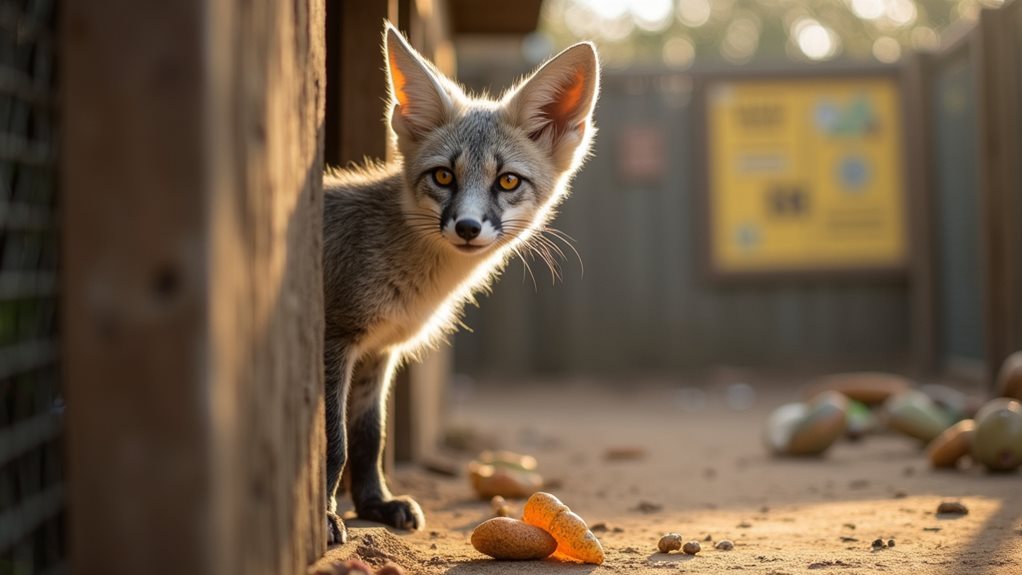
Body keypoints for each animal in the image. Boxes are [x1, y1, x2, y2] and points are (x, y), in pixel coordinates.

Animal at [321, 23, 599, 544]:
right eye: (444, 176)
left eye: (507, 181)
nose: (468, 227)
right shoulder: (336, 339)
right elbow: (334, 441)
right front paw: (326, 516)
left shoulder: (378, 351)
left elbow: (369, 438)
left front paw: (374, 505)